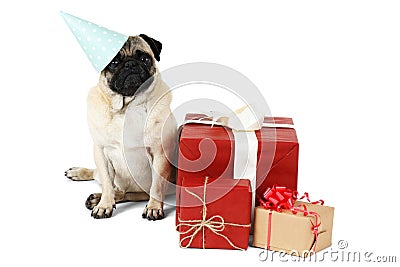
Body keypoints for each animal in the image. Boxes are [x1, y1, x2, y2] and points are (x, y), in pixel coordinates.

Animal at [64, 34, 177, 221]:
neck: (126, 108)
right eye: (114, 63)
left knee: (128, 193)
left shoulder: (159, 154)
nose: (130, 64)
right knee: (102, 179)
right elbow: (107, 184)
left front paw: (154, 208)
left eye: (145, 59)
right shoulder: (101, 151)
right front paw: (104, 205)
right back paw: (85, 180)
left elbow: (156, 187)